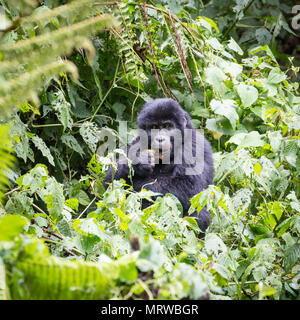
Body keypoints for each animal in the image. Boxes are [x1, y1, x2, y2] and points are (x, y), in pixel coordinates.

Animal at [104, 97, 214, 235]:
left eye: (167, 126)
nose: (160, 139)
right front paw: (138, 162)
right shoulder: (138, 141)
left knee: (198, 213)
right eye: (154, 127)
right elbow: (110, 182)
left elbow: (185, 189)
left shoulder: (195, 147)